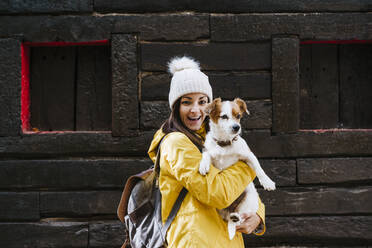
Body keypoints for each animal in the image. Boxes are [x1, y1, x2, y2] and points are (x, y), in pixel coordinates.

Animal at [198, 98, 276, 239]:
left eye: (238, 116)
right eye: (224, 116)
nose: (236, 127)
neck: (224, 145)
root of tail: (230, 210)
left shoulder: (248, 155)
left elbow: (259, 168)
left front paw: (267, 182)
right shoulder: (209, 151)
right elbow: (206, 154)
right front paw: (203, 165)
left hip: (248, 200)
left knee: (240, 218)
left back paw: (235, 217)